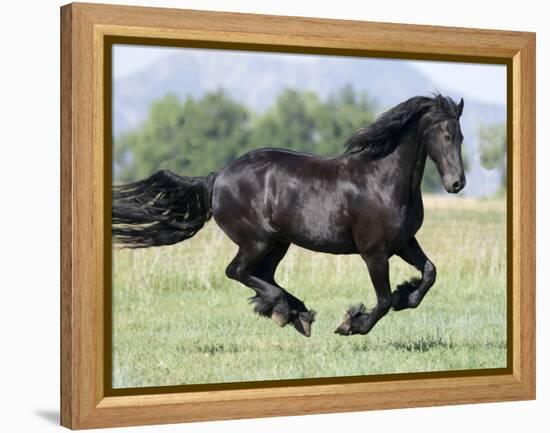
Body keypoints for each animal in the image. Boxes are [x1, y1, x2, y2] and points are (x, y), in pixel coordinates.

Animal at [114, 94, 468, 338]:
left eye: (461, 136)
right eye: (446, 135)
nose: (456, 183)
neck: (383, 181)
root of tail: (218, 177)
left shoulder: (404, 242)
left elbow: (429, 274)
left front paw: (405, 293)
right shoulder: (374, 252)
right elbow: (381, 301)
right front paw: (351, 323)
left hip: (278, 243)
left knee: (262, 275)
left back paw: (295, 313)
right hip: (256, 241)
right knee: (237, 271)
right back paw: (288, 311)